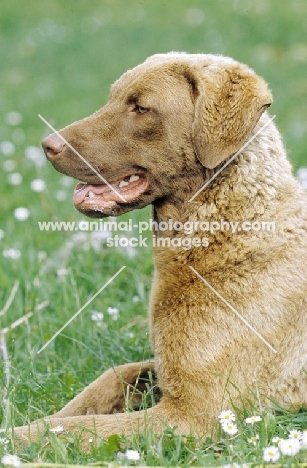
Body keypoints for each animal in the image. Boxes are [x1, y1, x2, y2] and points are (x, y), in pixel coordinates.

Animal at [13, 52, 307, 446]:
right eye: (112, 98)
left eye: (141, 107)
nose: (48, 145)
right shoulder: (164, 370)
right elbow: (107, 380)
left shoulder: (195, 413)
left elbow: (78, 429)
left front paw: (16, 437)